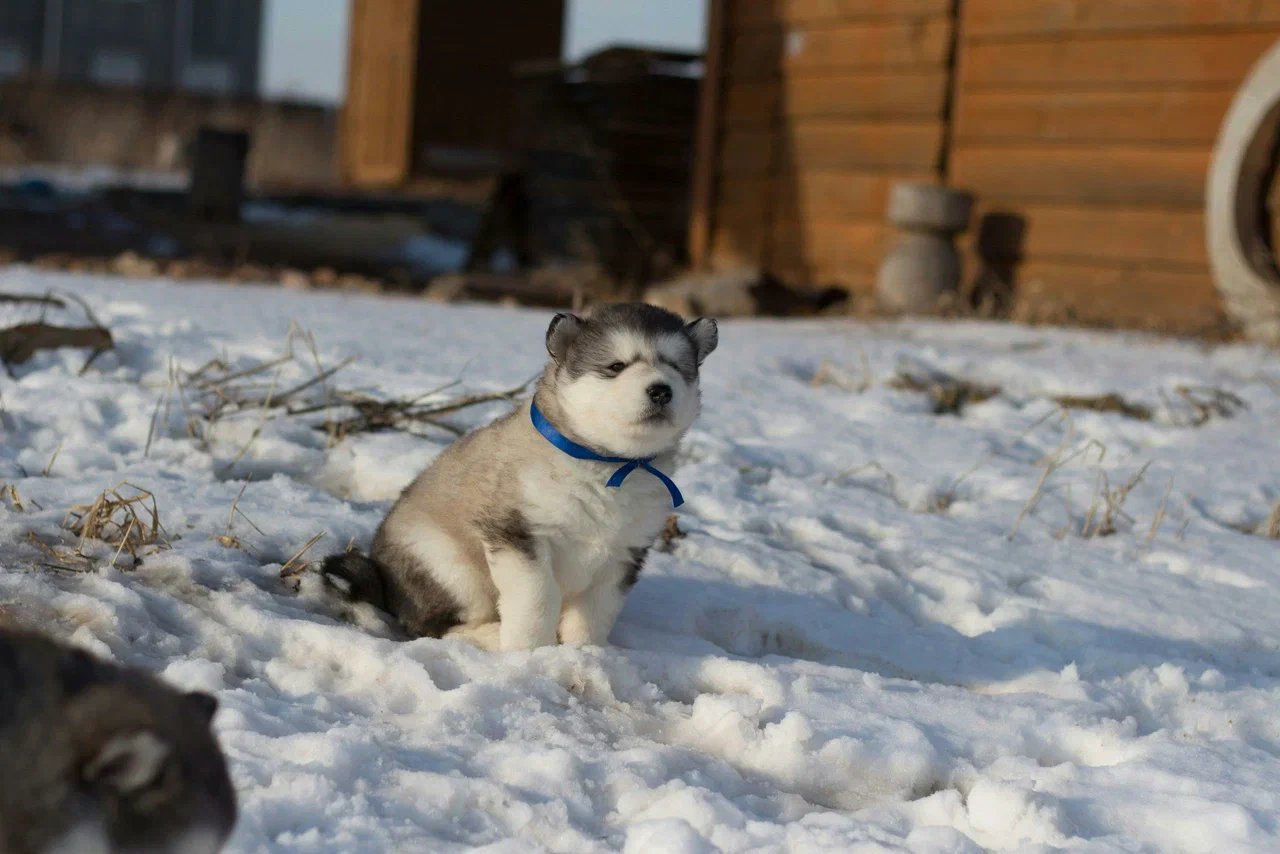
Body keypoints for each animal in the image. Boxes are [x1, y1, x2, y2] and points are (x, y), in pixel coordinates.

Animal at [325, 303, 716, 650]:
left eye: (676, 367)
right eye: (616, 366)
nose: (661, 390)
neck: (608, 463)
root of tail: (380, 571)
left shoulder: (623, 554)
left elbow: (594, 612)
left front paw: (585, 654)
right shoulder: (519, 535)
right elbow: (537, 600)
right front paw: (531, 654)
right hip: (449, 567)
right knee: (431, 625)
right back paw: (488, 637)